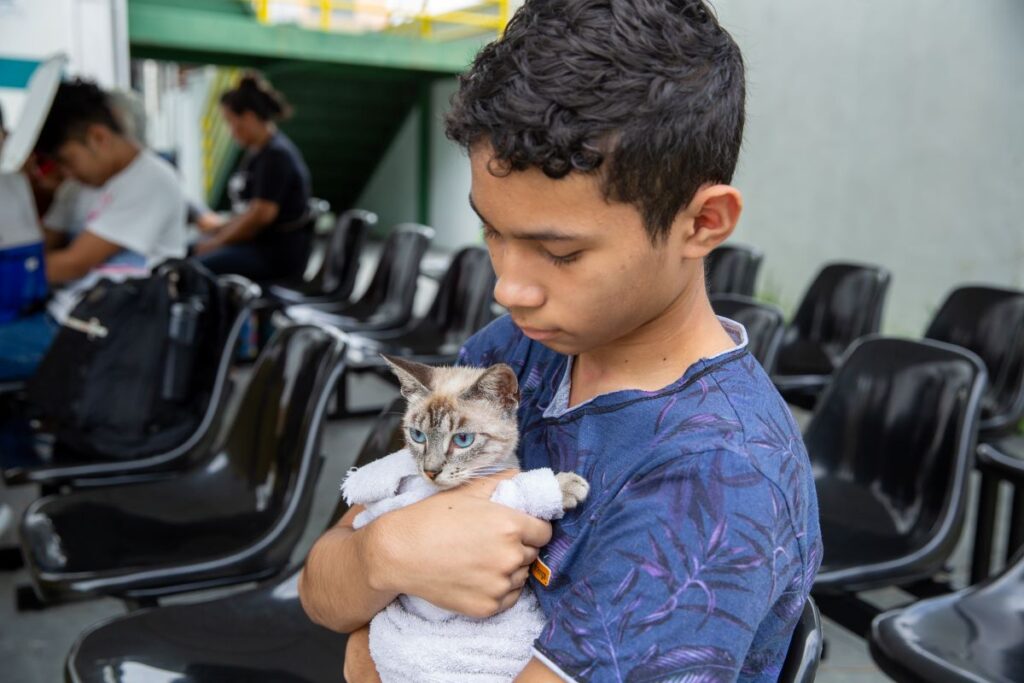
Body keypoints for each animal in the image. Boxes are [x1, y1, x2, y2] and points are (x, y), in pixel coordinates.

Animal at [339, 356, 589, 679]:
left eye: (463, 440)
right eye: (417, 436)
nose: (431, 471)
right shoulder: (494, 497)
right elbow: (522, 485)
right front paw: (567, 485)